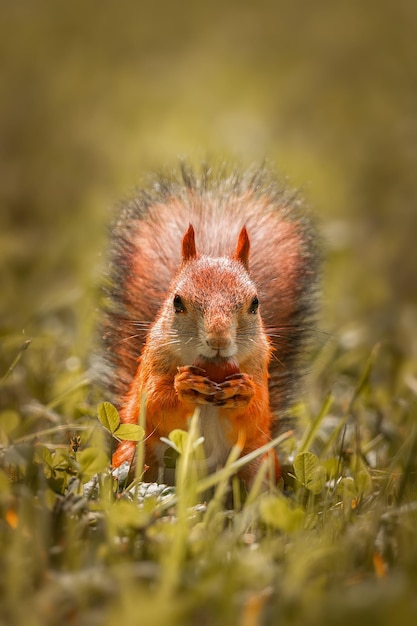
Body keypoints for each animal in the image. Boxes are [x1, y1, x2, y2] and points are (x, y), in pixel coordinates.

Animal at [101, 165, 318, 482]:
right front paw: (184, 386)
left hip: (259, 463)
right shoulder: (153, 364)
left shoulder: (258, 366)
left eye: (255, 303)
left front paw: (243, 391)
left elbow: (256, 413)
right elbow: (154, 403)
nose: (218, 340)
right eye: (177, 301)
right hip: (135, 457)